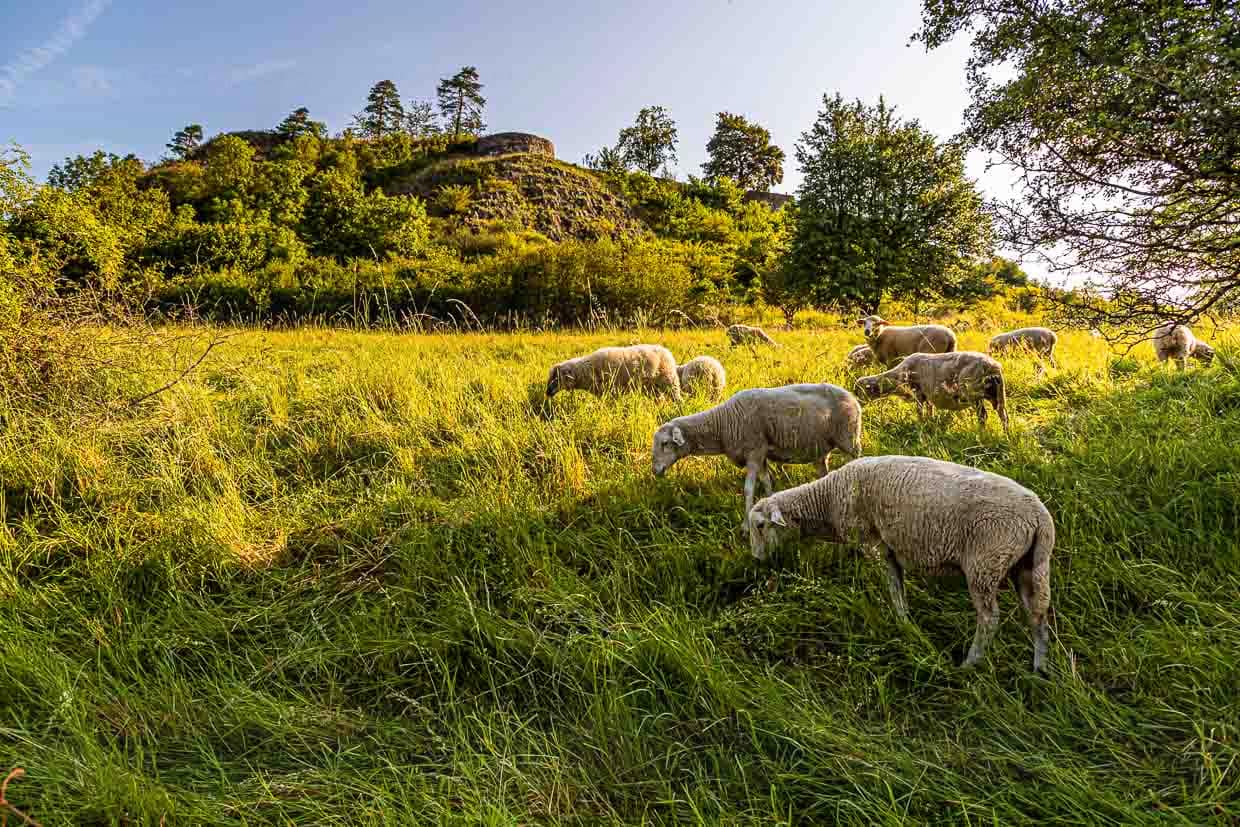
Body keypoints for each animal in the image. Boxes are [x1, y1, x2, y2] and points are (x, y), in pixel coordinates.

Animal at [546, 344, 681, 400]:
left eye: (556, 379)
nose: (547, 393)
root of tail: (666, 351)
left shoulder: (612, 390)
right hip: (653, 387)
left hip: (669, 380)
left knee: (676, 396)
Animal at [651, 383, 862, 521]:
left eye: (665, 443)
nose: (655, 471)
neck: (722, 424)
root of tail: (854, 399)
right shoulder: (761, 456)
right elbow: (767, 483)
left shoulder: (753, 453)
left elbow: (748, 489)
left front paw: (745, 527)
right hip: (822, 448)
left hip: (849, 440)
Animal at [747, 455, 1055, 673]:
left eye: (760, 526)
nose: (757, 560)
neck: (827, 502)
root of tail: (1039, 517)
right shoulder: (891, 550)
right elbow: (898, 585)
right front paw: (905, 623)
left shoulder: (875, 544)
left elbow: (893, 586)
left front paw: (901, 622)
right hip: (1027, 565)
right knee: (1037, 614)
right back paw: (1039, 669)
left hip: (985, 563)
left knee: (989, 619)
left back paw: (969, 664)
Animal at [855, 351, 1009, 433]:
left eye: (857, 392)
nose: (856, 407)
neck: (897, 377)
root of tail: (993, 366)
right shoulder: (927, 395)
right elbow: (930, 409)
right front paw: (929, 422)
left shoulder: (918, 392)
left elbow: (919, 411)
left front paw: (921, 424)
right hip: (997, 394)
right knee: (1003, 416)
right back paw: (1006, 435)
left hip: (974, 393)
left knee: (983, 415)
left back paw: (981, 433)